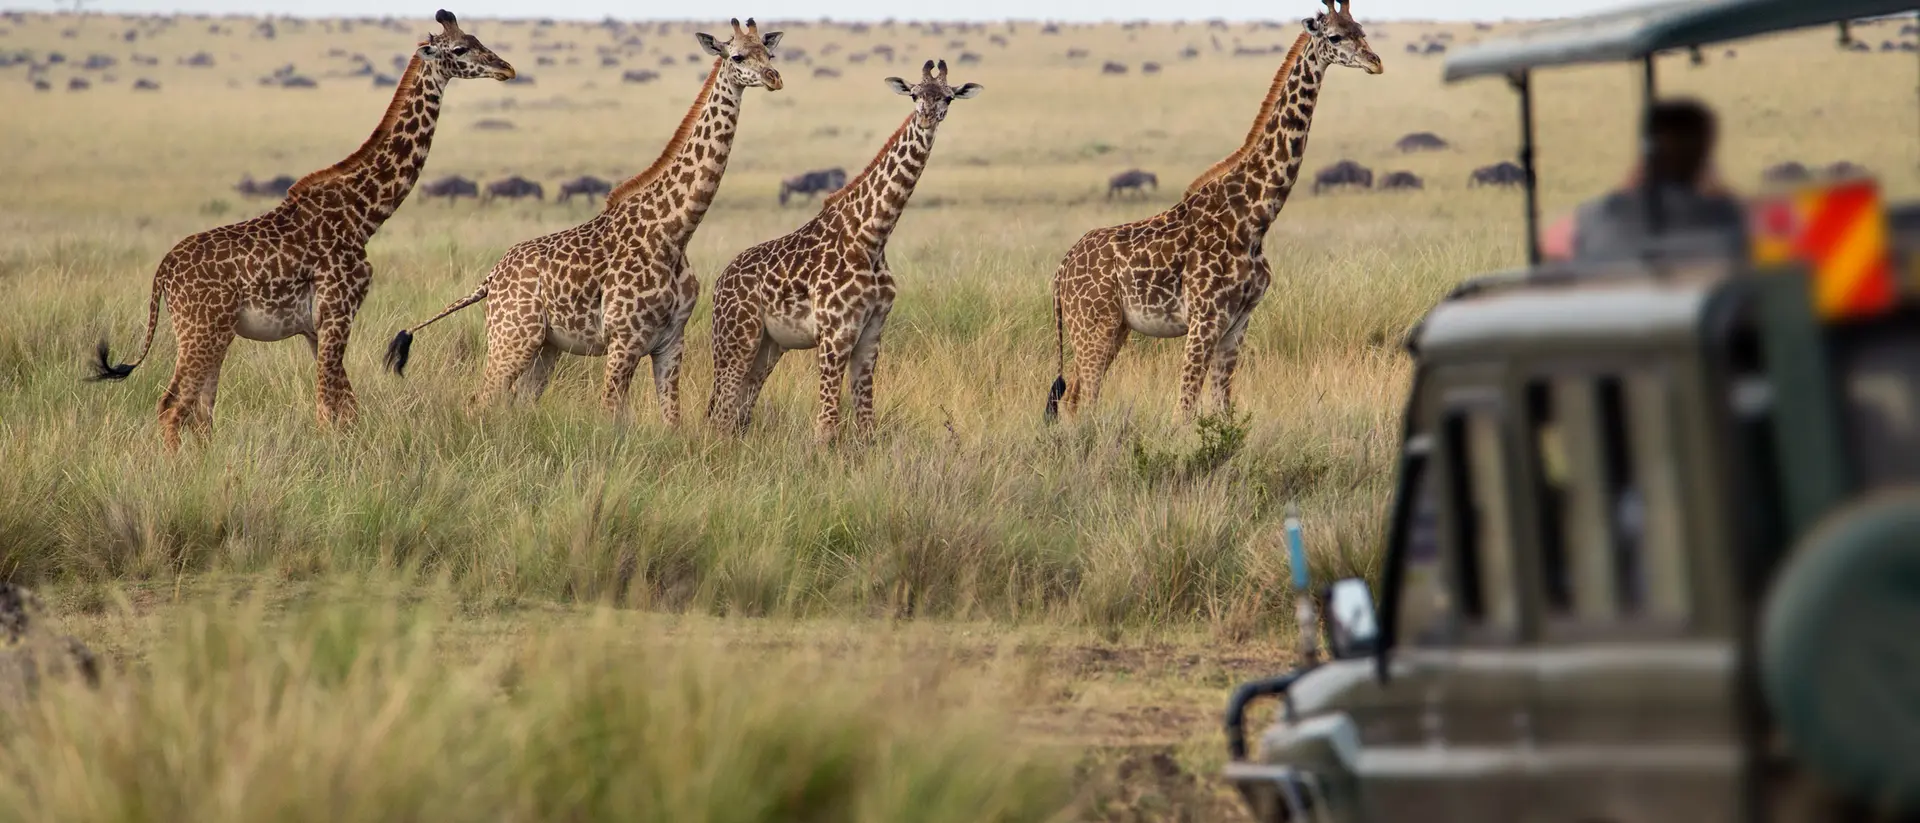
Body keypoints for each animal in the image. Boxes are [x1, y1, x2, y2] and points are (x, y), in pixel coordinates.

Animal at [89, 10, 514, 451]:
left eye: (476, 40)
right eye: (460, 49)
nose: (507, 68)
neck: (363, 215)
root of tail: (163, 274)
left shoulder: (315, 327)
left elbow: (343, 407)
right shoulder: (338, 312)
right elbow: (330, 405)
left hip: (213, 333)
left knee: (200, 410)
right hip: (201, 330)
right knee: (173, 405)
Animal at [383, 18, 783, 427]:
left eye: (770, 53)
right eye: (737, 56)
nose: (774, 78)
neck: (674, 232)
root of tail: (491, 279)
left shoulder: (671, 340)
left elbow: (672, 419)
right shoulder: (624, 340)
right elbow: (610, 415)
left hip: (546, 346)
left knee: (519, 401)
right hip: (512, 337)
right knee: (481, 399)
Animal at [705, 60, 982, 443]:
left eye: (948, 97)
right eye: (914, 94)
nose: (927, 117)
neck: (872, 235)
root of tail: (720, 283)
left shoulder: (871, 333)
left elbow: (866, 423)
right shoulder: (835, 332)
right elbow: (826, 427)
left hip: (768, 345)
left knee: (738, 412)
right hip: (736, 337)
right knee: (720, 412)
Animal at [1043, 0, 1381, 423]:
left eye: (1362, 29)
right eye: (1334, 36)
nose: (1375, 62)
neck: (1254, 219)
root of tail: (1060, 272)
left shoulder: (1238, 322)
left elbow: (1222, 408)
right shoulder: (1205, 319)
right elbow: (1184, 410)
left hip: (1112, 327)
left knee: (1074, 398)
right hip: (1093, 325)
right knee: (1084, 398)